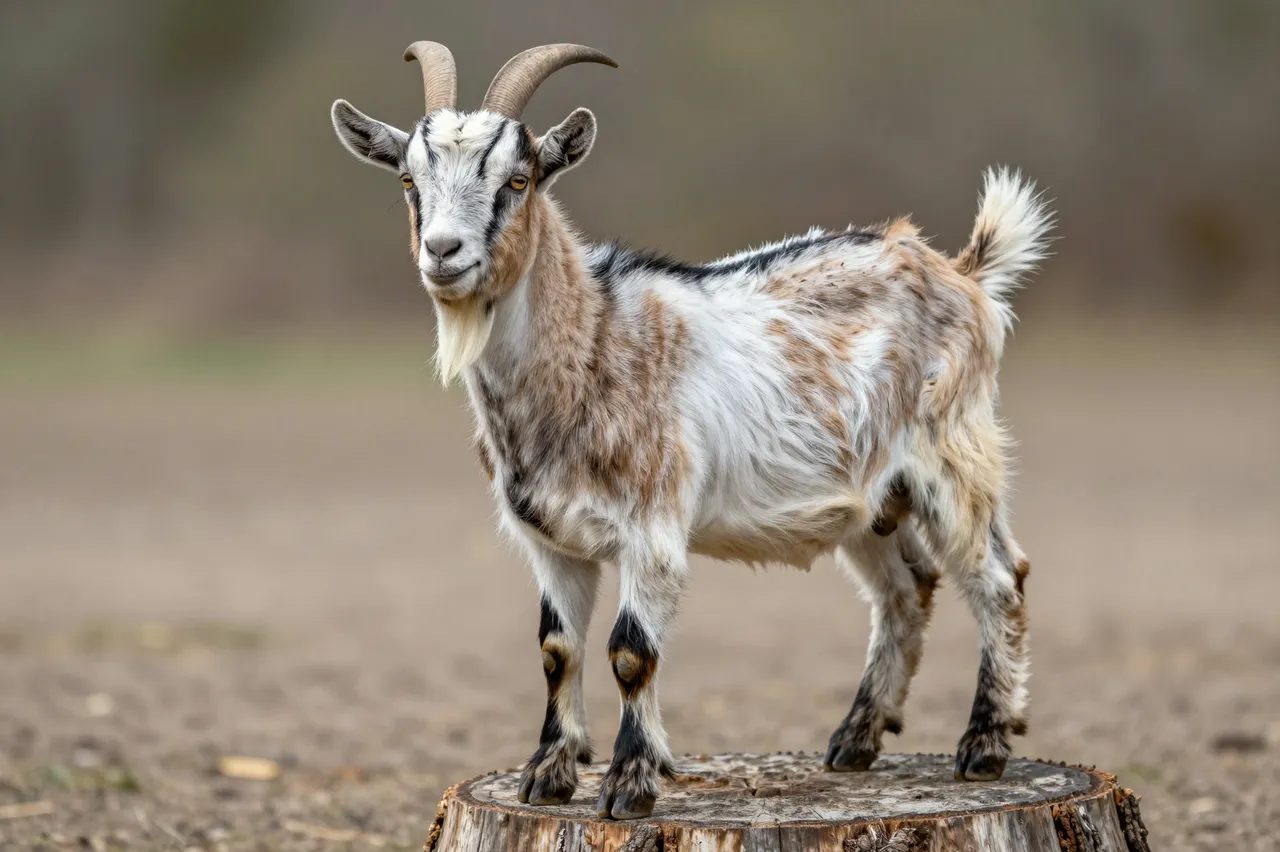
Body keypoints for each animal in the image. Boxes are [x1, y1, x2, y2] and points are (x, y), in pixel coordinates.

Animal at [331, 42, 1053, 821]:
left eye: (517, 180)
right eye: (409, 179)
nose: (444, 251)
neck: (593, 341)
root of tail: (961, 271)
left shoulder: (653, 529)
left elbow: (629, 651)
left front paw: (629, 784)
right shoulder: (549, 539)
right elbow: (557, 649)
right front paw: (548, 776)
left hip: (953, 455)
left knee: (999, 578)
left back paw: (984, 745)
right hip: (869, 500)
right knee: (906, 588)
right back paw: (855, 739)